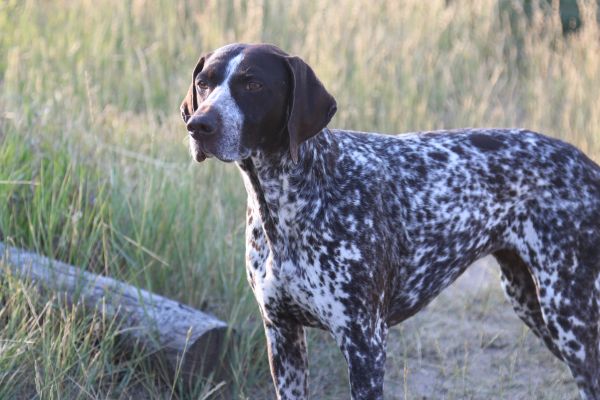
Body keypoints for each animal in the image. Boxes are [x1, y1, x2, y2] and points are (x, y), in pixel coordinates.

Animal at [180, 42, 600, 398]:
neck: (285, 204)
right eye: (204, 83)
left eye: (253, 84)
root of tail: (586, 163)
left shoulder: (364, 344)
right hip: (530, 299)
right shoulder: (283, 338)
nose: (198, 125)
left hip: (569, 315)